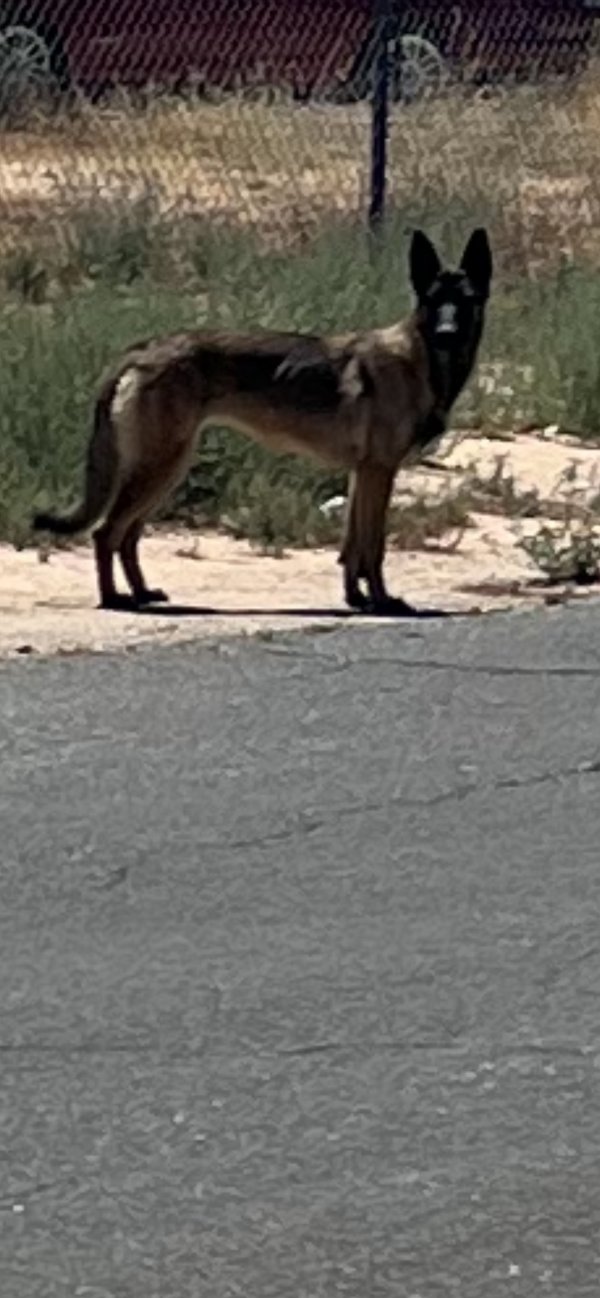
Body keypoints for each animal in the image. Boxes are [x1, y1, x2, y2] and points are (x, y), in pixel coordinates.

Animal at [31, 231, 490, 615]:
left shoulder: (363, 476)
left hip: (167, 469)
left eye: (465, 300)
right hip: (159, 467)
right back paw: (114, 599)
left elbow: (353, 547)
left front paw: (356, 599)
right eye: (433, 299)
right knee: (107, 533)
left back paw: (141, 592)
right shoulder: (379, 473)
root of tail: (143, 350)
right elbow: (373, 547)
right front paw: (380, 602)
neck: (422, 360)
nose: (447, 333)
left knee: (127, 536)